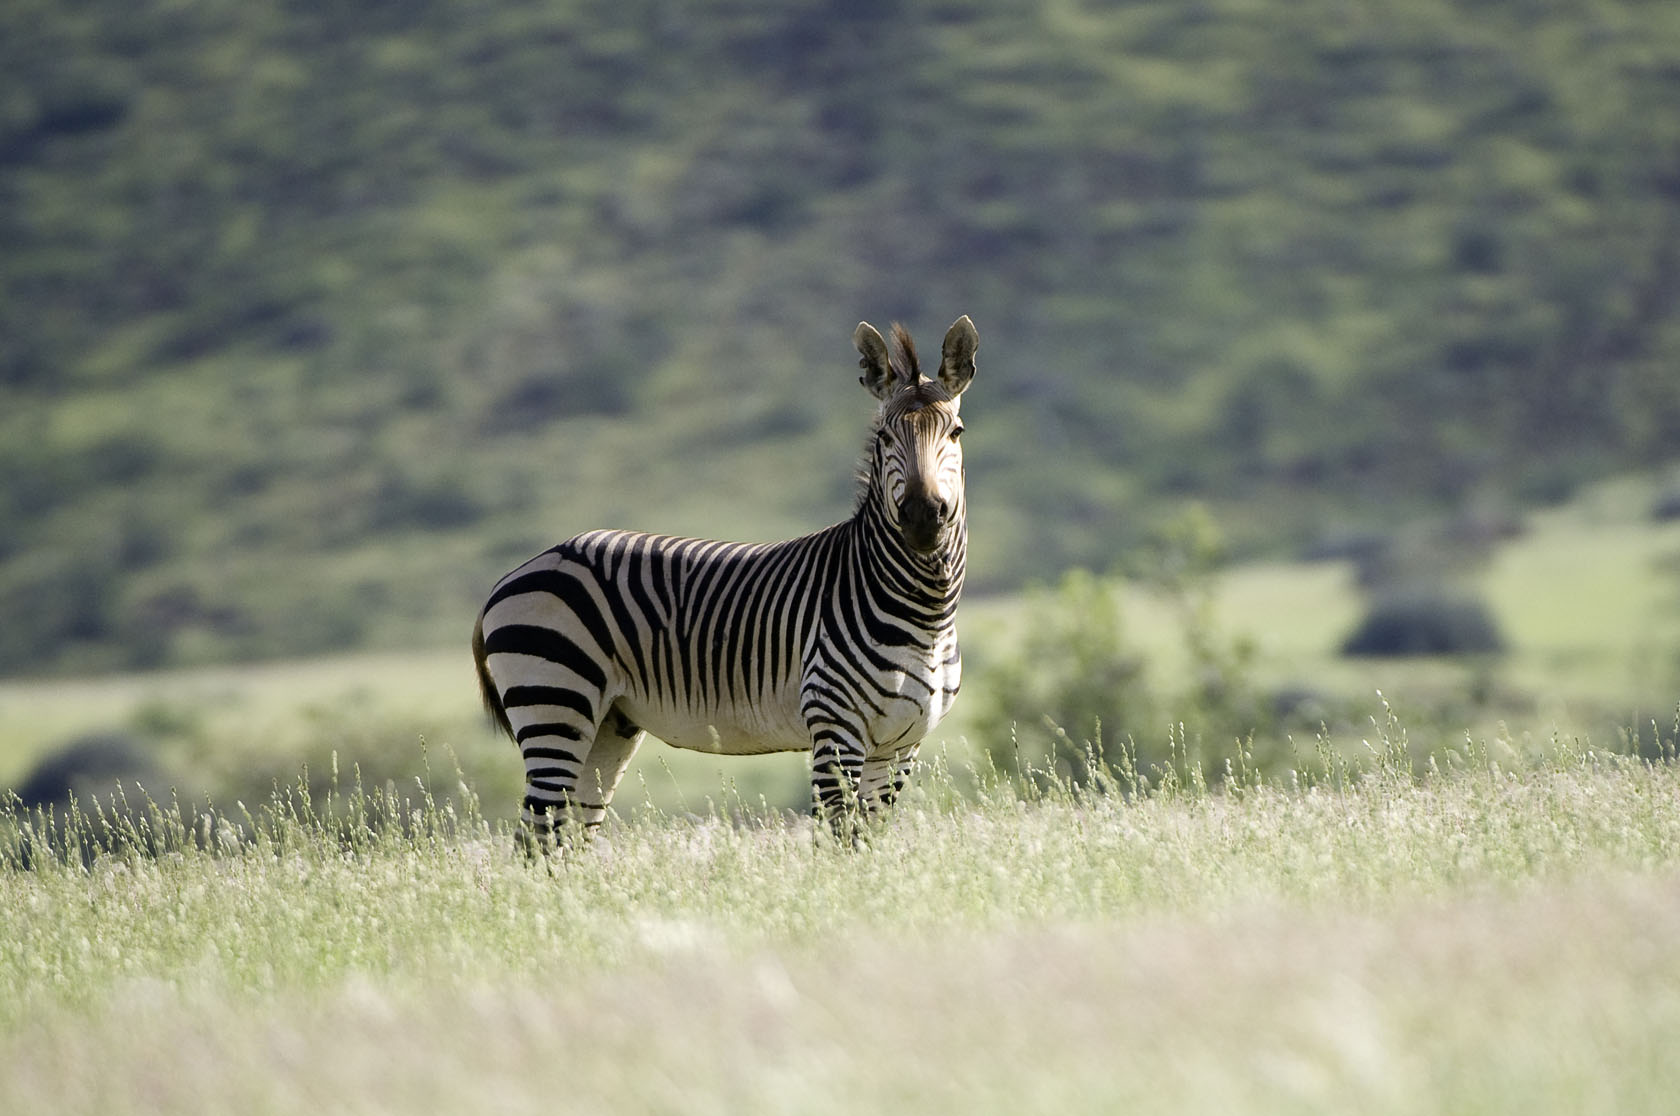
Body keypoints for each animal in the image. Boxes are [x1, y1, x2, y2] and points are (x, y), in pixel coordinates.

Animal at [472, 315, 977, 845]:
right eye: (884, 437)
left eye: (956, 432)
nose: (922, 518)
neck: (924, 614)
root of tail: (519, 571)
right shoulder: (835, 730)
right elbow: (837, 841)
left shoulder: (900, 745)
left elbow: (870, 840)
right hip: (554, 704)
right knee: (536, 836)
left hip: (607, 723)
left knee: (566, 836)